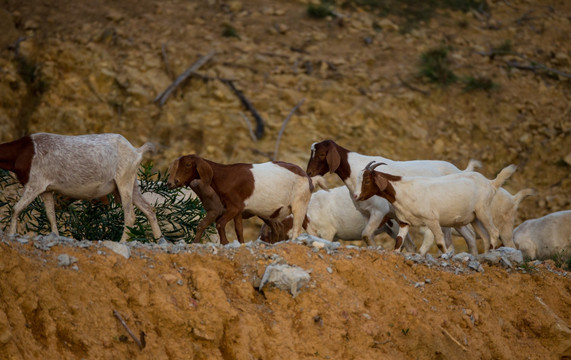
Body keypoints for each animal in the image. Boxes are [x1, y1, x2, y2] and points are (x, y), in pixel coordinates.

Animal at [0, 132, 162, 242]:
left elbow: (15, 209)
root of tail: (136, 151)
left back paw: (122, 242)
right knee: (149, 210)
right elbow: (51, 215)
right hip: (132, 184)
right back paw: (160, 240)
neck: (23, 152)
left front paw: (10, 234)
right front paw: (56, 236)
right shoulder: (46, 190)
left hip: (124, 181)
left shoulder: (35, 185)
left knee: (130, 215)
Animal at [168, 155, 312, 245]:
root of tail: (305, 174)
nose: (174, 182)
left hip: (299, 204)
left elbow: (219, 223)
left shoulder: (233, 207)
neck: (225, 176)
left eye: (188, 164)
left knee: (296, 229)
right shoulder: (237, 210)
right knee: (281, 228)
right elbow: (238, 230)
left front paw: (225, 242)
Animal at [308, 139, 478, 255]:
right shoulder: (366, 213)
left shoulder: (379, 212)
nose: (309, 172)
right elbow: (368, 236)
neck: (355, 172)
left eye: (322, 154)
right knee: (468, 236)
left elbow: (366, 234)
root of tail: (459, 170)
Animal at [356, 162, 516, 255]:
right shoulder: (404, 222)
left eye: (367, 180)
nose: (358, 196)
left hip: (483, 210)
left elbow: (439, 242)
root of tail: (491, 183)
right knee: (484, 236)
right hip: (474, 217)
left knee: (494, 232)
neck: (403, 190)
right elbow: (399, 242)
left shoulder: (432, 220)